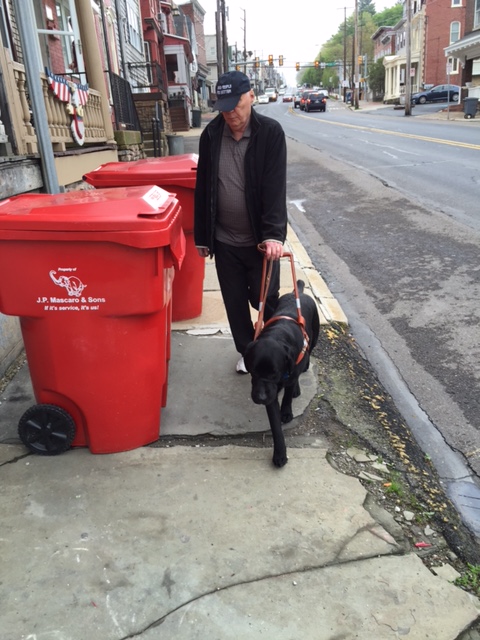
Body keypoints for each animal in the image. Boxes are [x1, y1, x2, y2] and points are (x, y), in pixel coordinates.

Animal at [246, 282, 320, 468]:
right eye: (253, 371)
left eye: (274, 373)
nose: (260, 397)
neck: (277, 334)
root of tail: (297, 291)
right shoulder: (270, 394)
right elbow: (275, 426)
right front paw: (280, 453)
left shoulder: (285, 377)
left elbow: (287, 395)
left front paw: (286, 412)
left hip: (314, 337)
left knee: (306, 358)